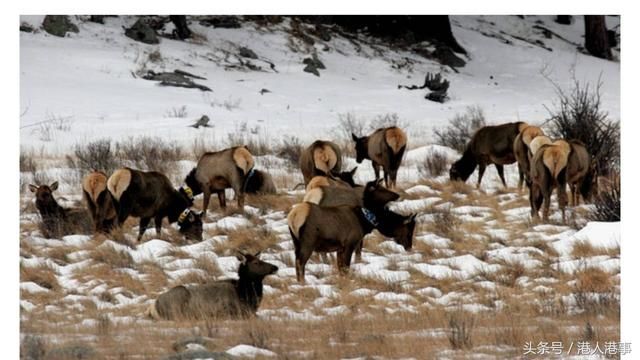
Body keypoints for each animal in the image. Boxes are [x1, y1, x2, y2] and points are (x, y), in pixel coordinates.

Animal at [148, 250, 278, 320]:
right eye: (256, 262)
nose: (275, 267)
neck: (244, 294)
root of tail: (154, 305)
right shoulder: (230, 311)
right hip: (178, 301)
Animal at [288, 179, 418, 282]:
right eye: (408, 231)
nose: (409, 247)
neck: (365, 221)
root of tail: (293, 216)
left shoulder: (340, 248)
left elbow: (341, 268)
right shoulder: (350, 242)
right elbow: (347, 266)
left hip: (296, 243)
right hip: (308, 242)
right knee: (300, 263)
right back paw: (303, 282)